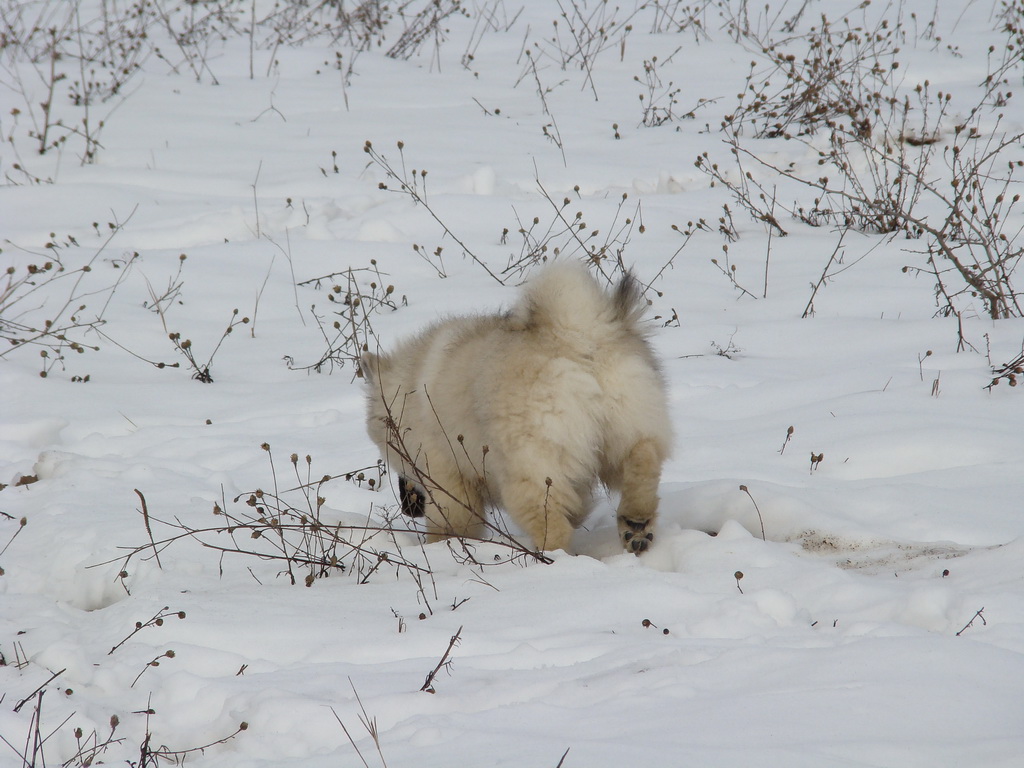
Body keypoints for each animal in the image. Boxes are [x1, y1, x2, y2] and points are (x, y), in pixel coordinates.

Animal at [360, 262, 671, 557]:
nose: (406, 507)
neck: (408, 392)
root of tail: (575, 336)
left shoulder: (445, 472)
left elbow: (452, 523)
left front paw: (441, 547)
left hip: (529, 464)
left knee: (551, 524)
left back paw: (550, 558)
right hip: (627, 428)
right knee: (642, 459)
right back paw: (636, 524)